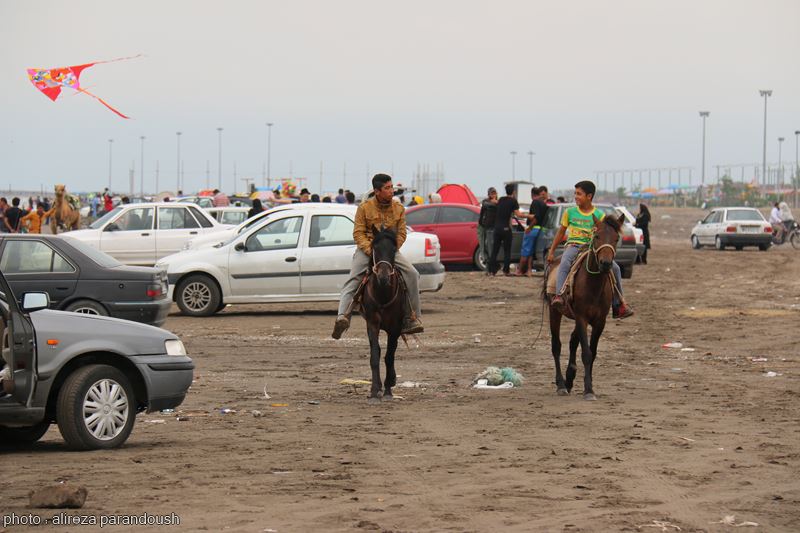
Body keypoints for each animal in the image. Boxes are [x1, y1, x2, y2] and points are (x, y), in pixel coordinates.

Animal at [360, 224, 406, 404]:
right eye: (375, 248)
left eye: (393, 249)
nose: (383, 276)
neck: (383, 294)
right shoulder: (372, 323)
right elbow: (375, 355)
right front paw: (374, 390)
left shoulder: (395, 328)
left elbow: (389, 356)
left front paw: (388, 389)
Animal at [544, 212, 624, 400]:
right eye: (597, 236)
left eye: (616, 238)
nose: (606, 264)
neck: (593, 284)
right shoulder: (581, 317)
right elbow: (586, 353)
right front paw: (588, 390)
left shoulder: (599, 321)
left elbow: (592, 352)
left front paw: (590, 385)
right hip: (554, 311)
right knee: (556, 346)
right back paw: (561, 385)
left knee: (573, 341)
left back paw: (569, 378)